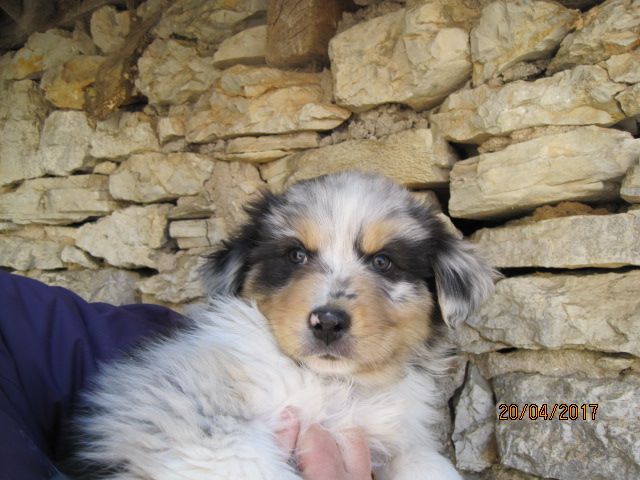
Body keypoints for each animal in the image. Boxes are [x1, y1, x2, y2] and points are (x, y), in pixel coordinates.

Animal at [71, 171, 495, 479]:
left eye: (383, 261)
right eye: (296, 255)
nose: (327, 322)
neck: (331, 385)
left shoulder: (389, 437)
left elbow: (425, 463)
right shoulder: (181, 408)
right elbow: (247, 464)